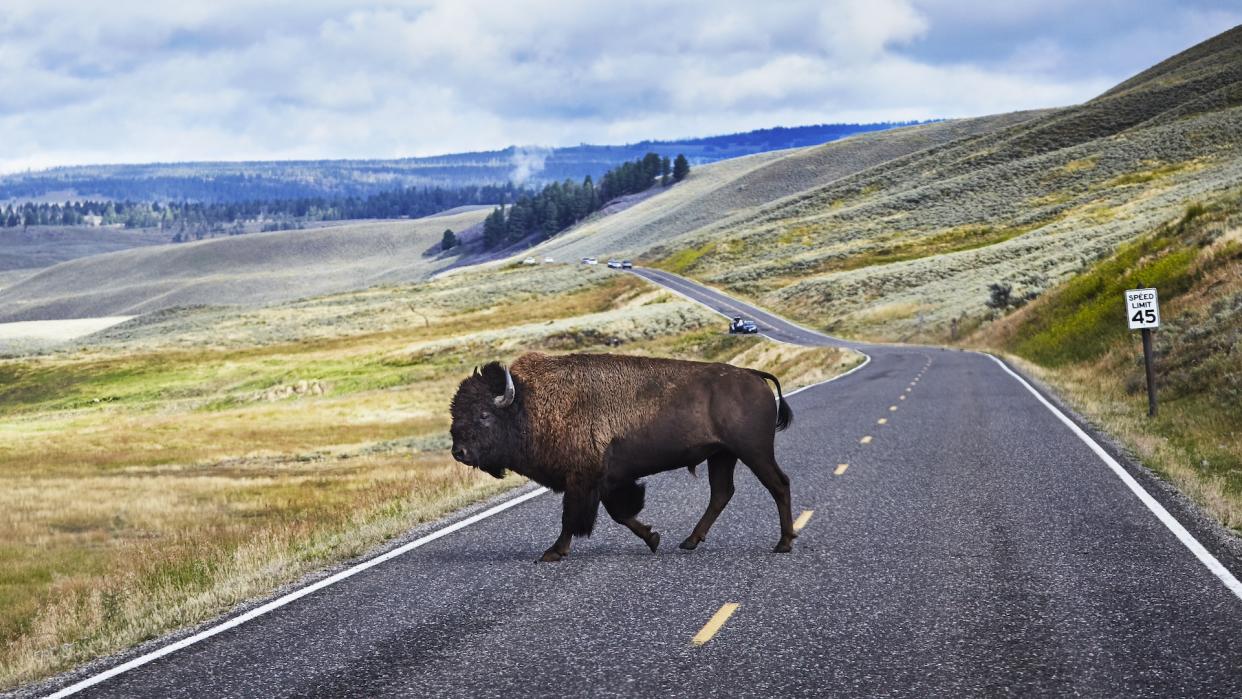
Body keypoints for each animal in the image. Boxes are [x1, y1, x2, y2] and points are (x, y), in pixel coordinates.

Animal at [449, 352, 794, 561]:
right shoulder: (606, 481)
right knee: (722, 493)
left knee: (778, 485)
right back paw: (690, 541)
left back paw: (784, 543)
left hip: (753, 451)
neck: (527, 403)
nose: (459, 452)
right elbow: (621, 513)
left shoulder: (583, 480)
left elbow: (573, 518)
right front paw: (653, 538)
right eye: (455, 413)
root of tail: (752, 375)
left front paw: (553, 552)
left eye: (483, 415)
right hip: (722, 455)